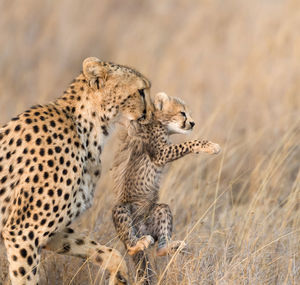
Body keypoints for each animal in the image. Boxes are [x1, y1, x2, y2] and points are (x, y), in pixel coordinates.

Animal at [0, 56, 151, 282]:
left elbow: (107, 252)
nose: (151, 115)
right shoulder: (22, 232)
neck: (87, 129)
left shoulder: (46, 233)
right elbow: (26, 278)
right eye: (141, 91)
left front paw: (119, 276)